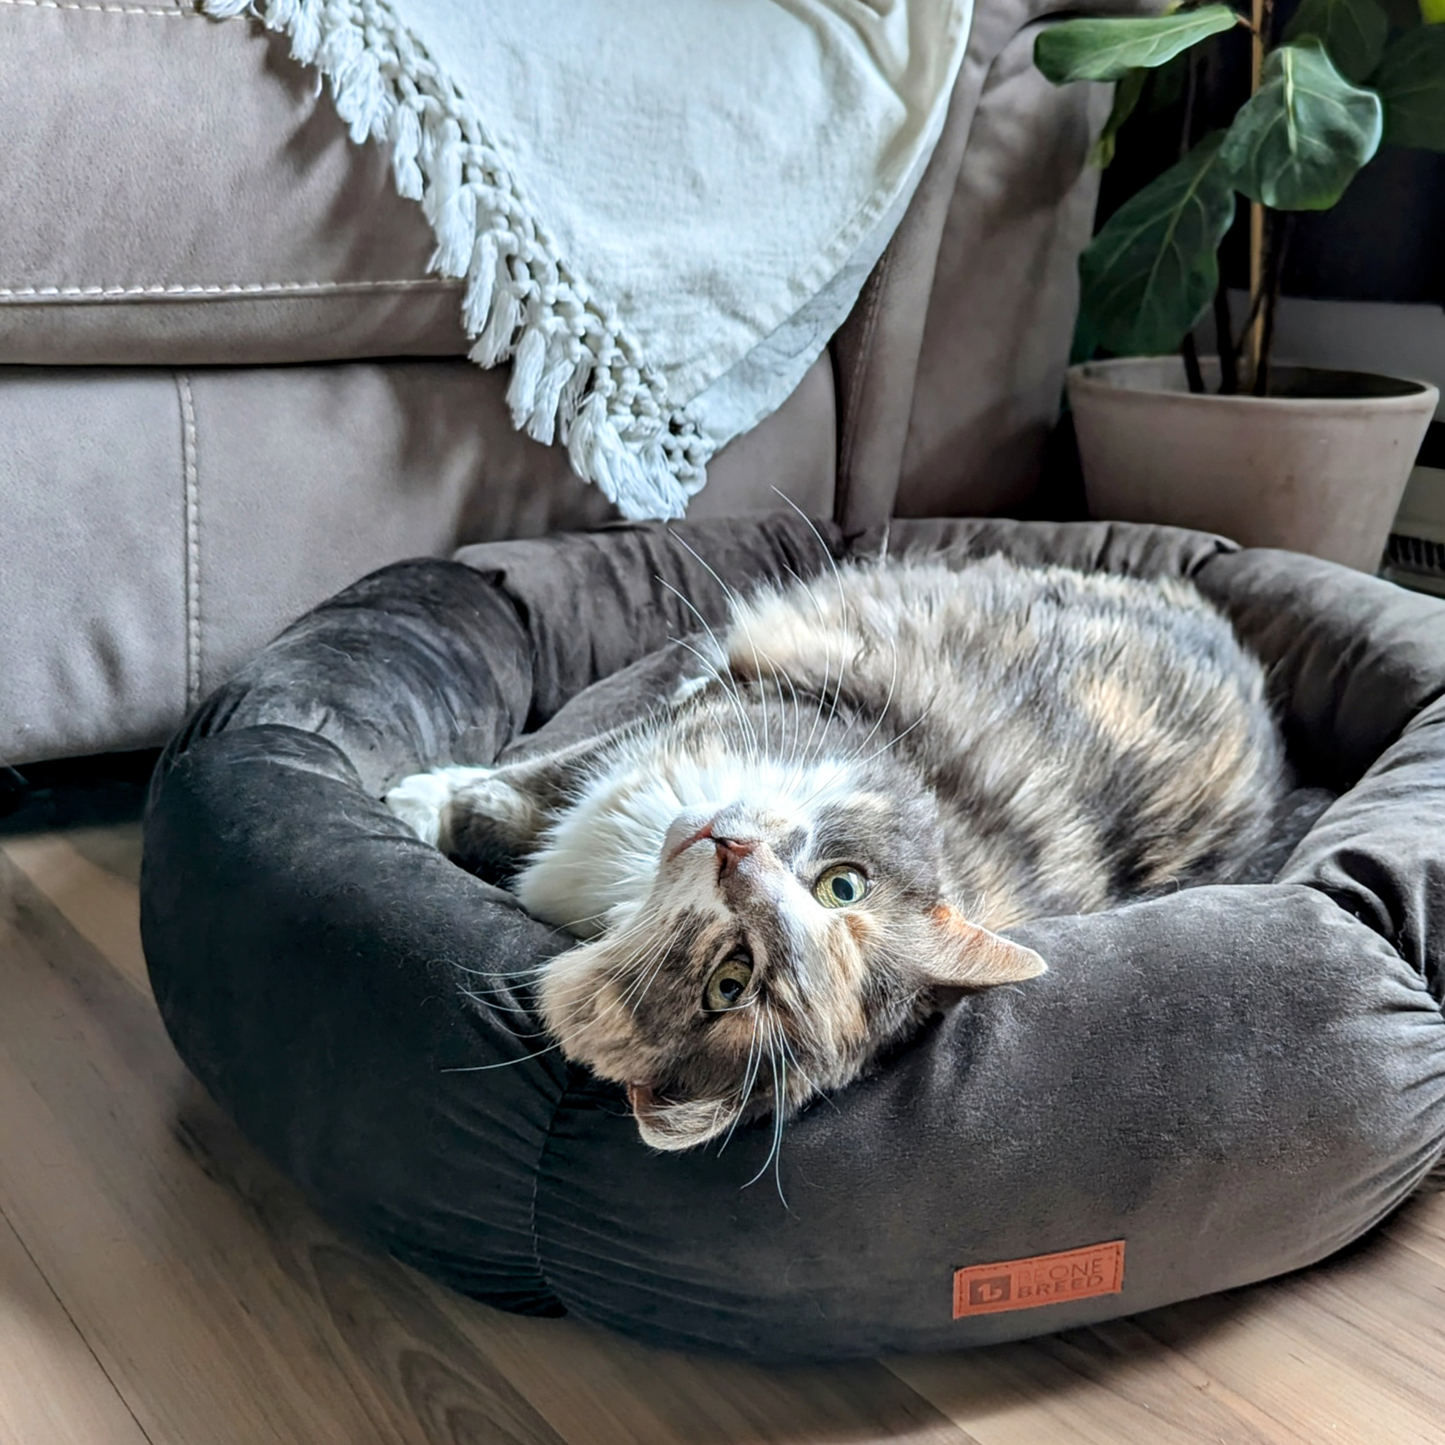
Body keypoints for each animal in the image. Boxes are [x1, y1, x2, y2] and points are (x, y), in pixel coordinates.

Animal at [384, 549, 1288, 1150]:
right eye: (842, 887)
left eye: (730, 983)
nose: (731, 852)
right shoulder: (729, 714)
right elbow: (537, 778)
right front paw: (417, 799)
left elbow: (526, 800)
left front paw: (415, 801)